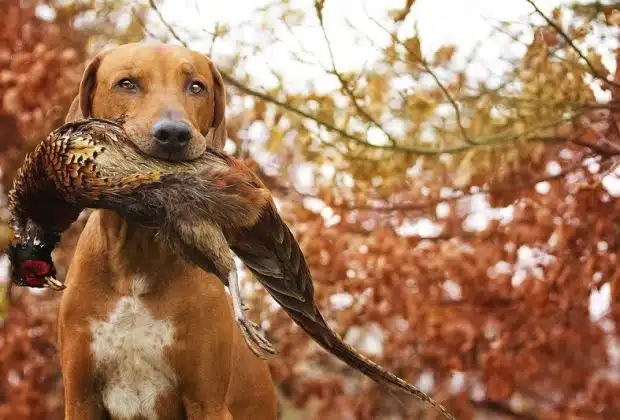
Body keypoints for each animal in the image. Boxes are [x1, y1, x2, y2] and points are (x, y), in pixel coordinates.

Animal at [59, 43, 278, 420]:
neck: (136, 260)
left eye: (196, 86)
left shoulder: (207, 401)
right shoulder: (80, 398)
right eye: (127, 83)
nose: (174, 134)